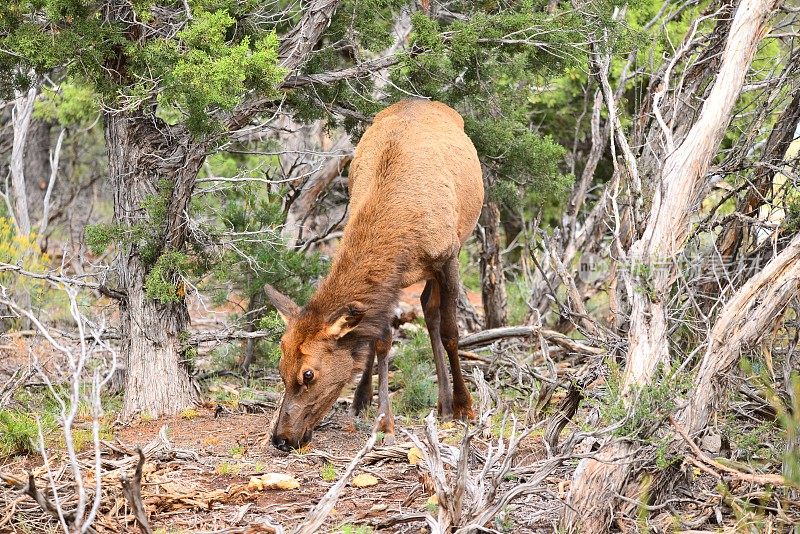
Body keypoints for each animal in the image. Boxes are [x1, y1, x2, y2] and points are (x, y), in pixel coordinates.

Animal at [268, 100, 482, 452]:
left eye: (308, 374)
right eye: (280, 367)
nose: (282, 438)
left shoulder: (448, 255)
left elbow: (452, 332)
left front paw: (465, 406)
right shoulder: (390, 280)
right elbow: (381, 339)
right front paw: (383, 417)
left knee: (433, 312)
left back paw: (447, 402)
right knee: (424, 307)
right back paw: (367, 397)